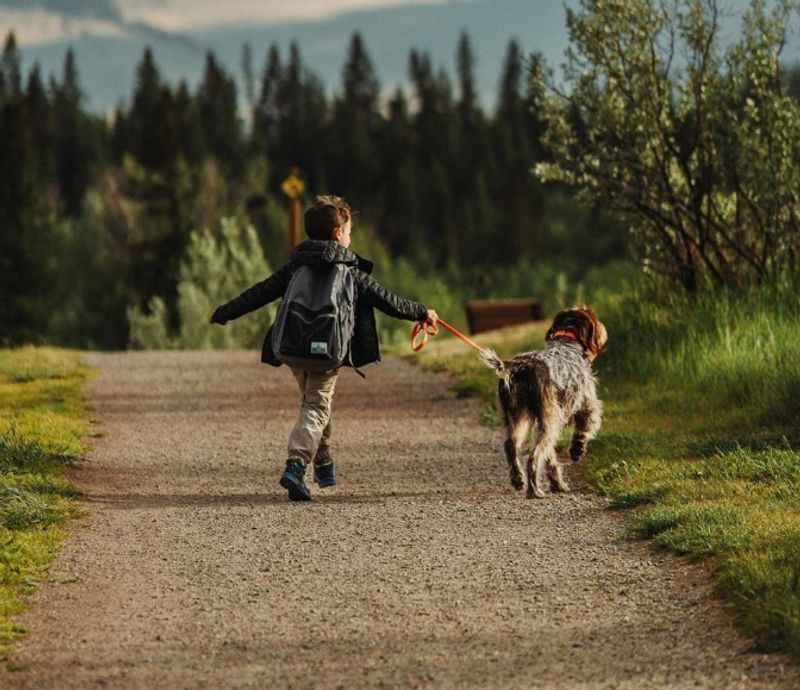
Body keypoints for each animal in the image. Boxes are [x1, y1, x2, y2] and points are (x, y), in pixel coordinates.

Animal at [482, 306, 608, 494]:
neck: (567, 341)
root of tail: (517, 367)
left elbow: (550, 458)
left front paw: (557, 483)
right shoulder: (587, 404)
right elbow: (583, 429)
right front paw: (577, 450)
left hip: (517, 417)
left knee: (510, 445)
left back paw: (518, 479)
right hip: (547, 422)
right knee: (533, 457)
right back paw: (534, 491)